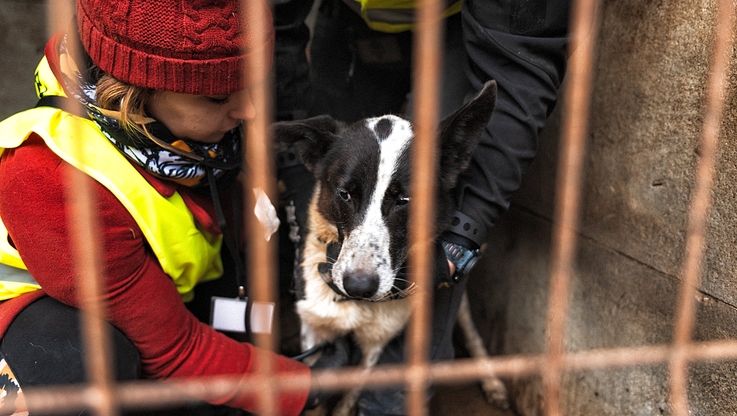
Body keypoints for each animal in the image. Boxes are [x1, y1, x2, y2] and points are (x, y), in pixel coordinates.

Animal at [274, 79, 506, 414]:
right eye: (345, 194)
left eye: (405, 200)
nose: (358, 286)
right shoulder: (314, 330)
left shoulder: (376, 344)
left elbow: (351, 395)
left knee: (471, 330)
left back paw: (492, 380)